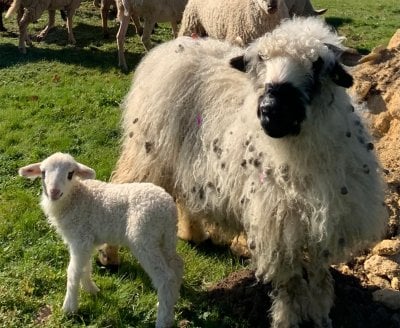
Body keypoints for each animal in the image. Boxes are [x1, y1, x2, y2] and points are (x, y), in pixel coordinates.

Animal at [19, 152, 184, 326]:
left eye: (70, 174)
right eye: (43, 173)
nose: (54, 192)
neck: (75, 198)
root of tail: (169, 207)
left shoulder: (80, 238)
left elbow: (73, 271)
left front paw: (70, 307)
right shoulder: (86, 240)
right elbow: (85, 267)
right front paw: (91, 289)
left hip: (144, 238)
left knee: (165, 277)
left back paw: (163, 320)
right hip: (165, 238)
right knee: (177, 265)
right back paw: (171, 301)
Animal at [111, 17, 388, 328]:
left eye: (317, 64)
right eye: (260, 60)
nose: (271, 110)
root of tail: (174, 45)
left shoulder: (324, 228)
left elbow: (319, 280)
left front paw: (320, 318)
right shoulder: (278, 228)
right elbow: (291, 285)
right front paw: (287, 321)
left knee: (185, 195)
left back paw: (194, 234)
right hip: (149, 152)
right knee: (124, 185)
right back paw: (108, 258)